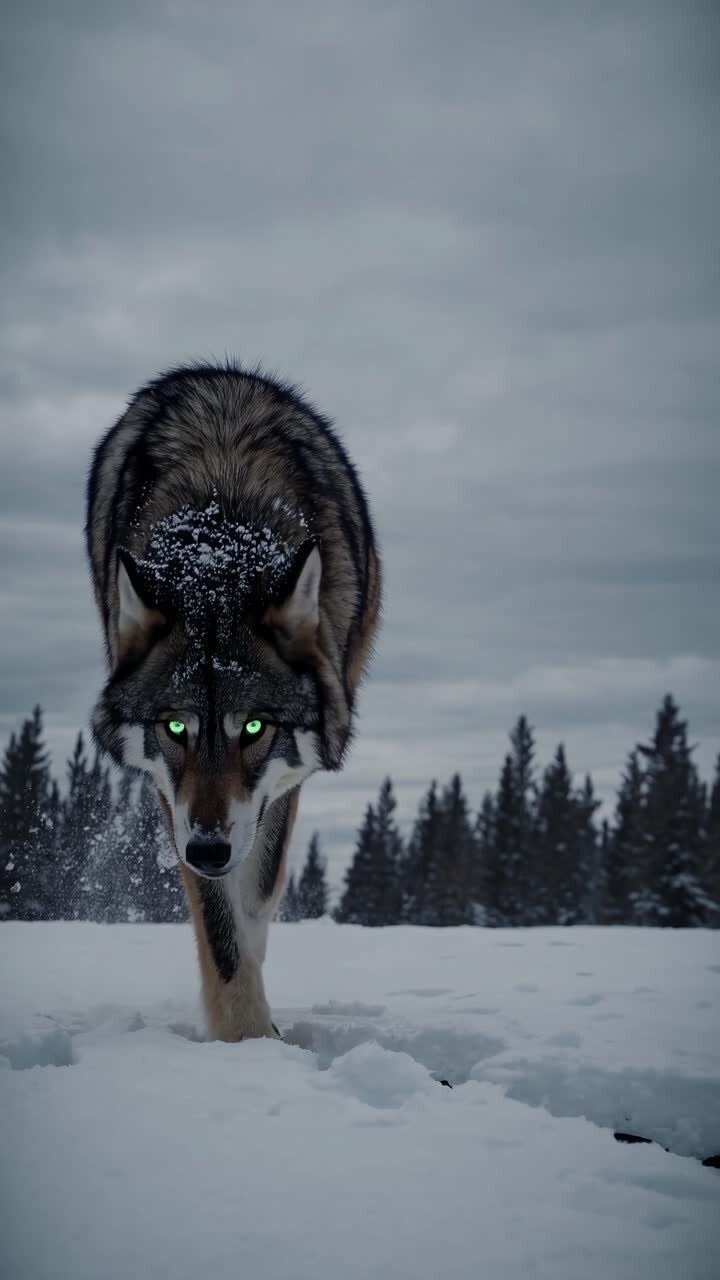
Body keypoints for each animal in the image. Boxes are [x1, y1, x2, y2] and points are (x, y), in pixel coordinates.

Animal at [86, 362, 381, 1041]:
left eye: (253, 728)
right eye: (175, 727)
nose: (208, 851)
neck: (221, 530)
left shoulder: (282, 783)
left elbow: (256, 895)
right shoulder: (175, 799)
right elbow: (221, 932)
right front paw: (245, 1039)